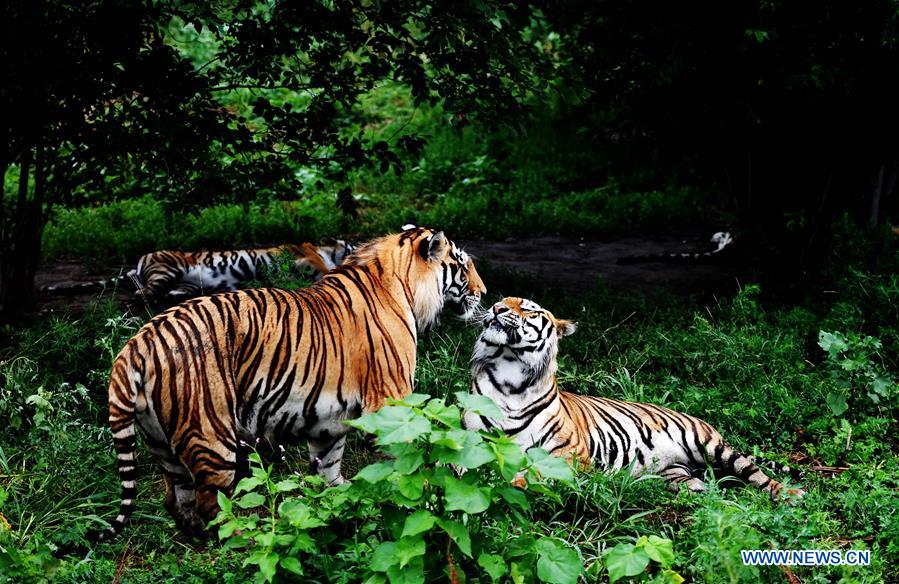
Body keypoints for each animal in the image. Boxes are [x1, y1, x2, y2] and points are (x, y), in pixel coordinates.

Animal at [87, 227, 485, 542]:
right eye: (463, 264)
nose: (483, 292)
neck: (404, 284)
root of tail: (140, 340)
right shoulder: (392, 399)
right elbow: (408, 461)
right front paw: (418, 501)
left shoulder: (328, 421)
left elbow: (328, 468)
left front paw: (343, 504)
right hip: (211, 435)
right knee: (211, 503)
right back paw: (242, 541)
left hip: (159, 441)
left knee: (176, 499)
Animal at [463, 296, 804, 499]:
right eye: (501, 300)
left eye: (528, 308)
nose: (496, 308)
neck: (511, 376)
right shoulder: (471, 440)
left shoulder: (569, 453)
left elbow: (531, 473)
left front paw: (505, 482)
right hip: (674, 473)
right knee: (703, 490)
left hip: (713, 446)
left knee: (755, 473)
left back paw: (790, 495)